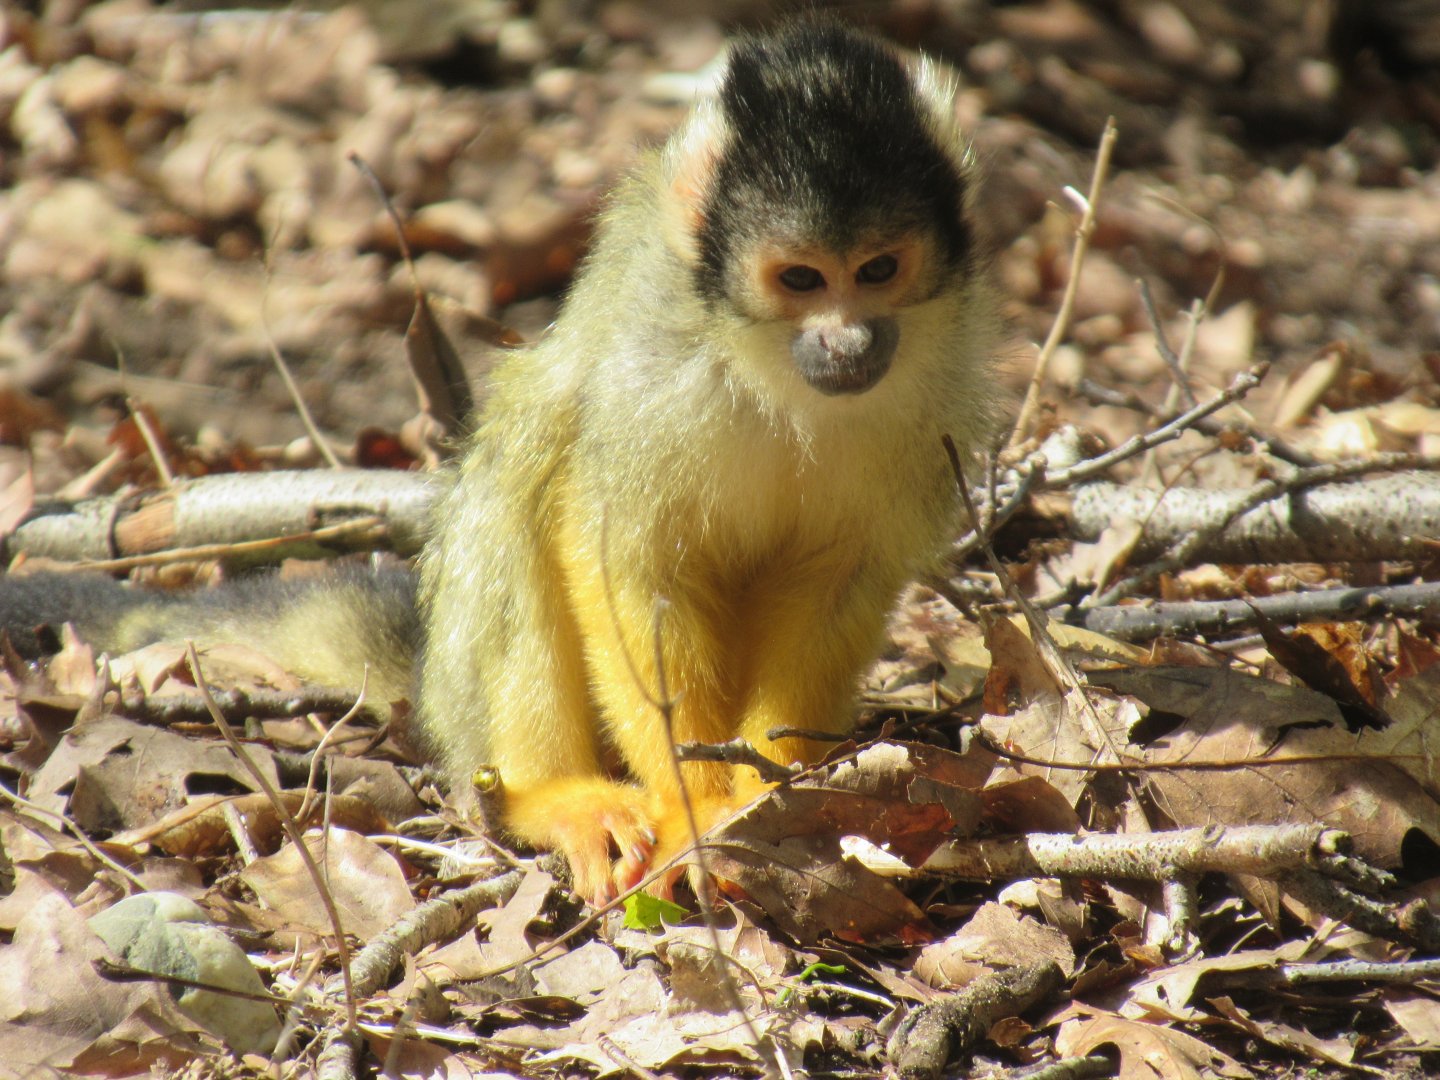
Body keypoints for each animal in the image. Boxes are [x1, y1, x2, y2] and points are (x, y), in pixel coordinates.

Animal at [1, 21, 1000, 906]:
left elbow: (835, 580)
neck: (775, 371)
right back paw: (551, 796)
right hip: (464, 694)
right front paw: (691, 799)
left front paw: (759, 795)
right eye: (801, 279)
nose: (848, 342)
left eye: (877, 270)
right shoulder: (656, 375)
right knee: (526, 464)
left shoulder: (937, 396)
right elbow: (625, 559)